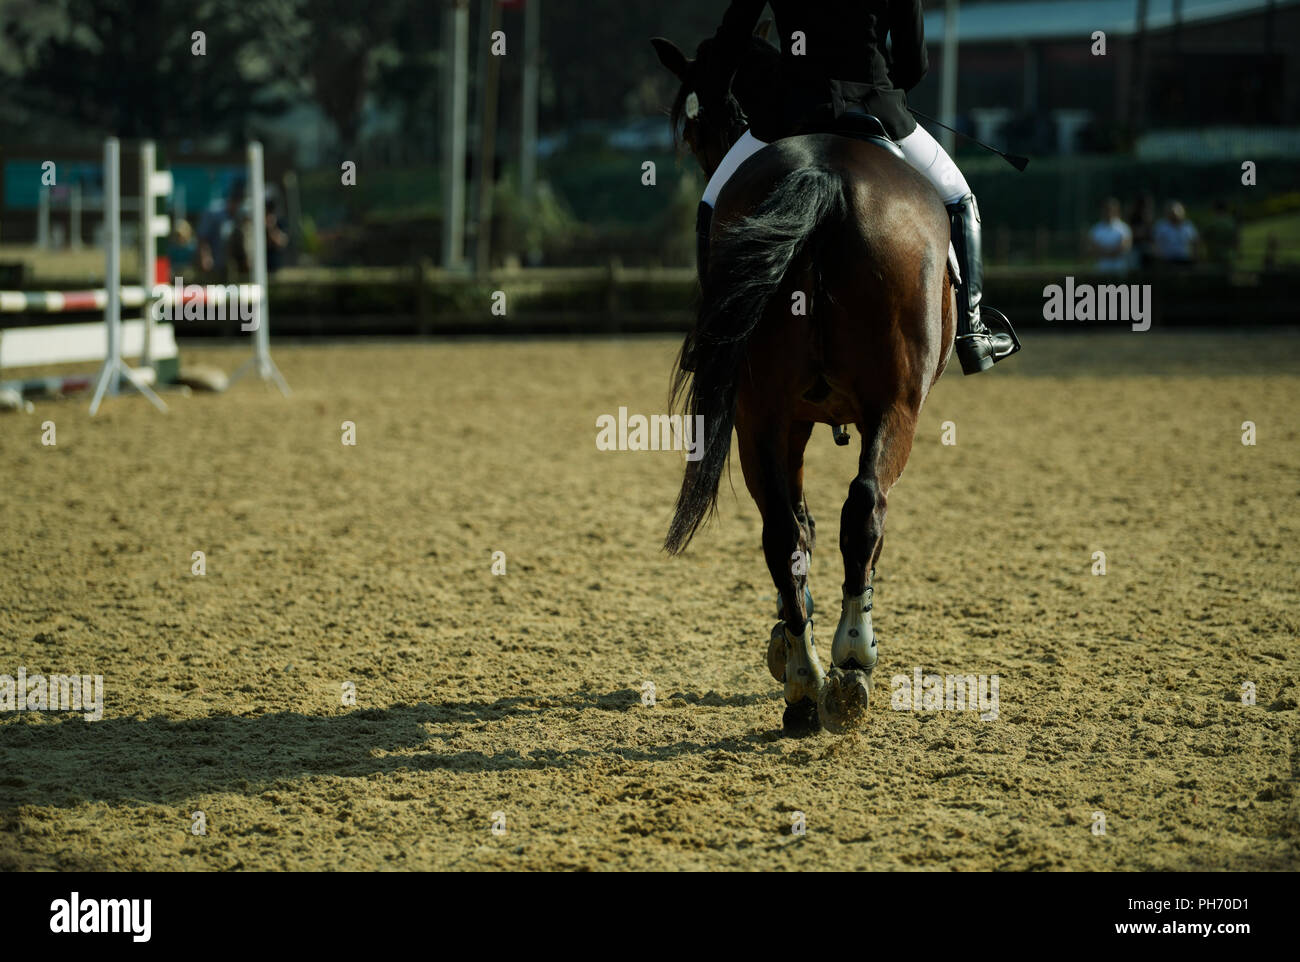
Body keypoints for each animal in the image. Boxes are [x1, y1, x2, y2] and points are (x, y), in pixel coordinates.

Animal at [660, 33, 956, 733]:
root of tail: (826, 178)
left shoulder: (784, 419)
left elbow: (799, 525)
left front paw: (792, 637)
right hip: (890, 408)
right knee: (864, 508)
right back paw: (843, 670)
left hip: (763, 414)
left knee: (784, 530)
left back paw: (807, 682)